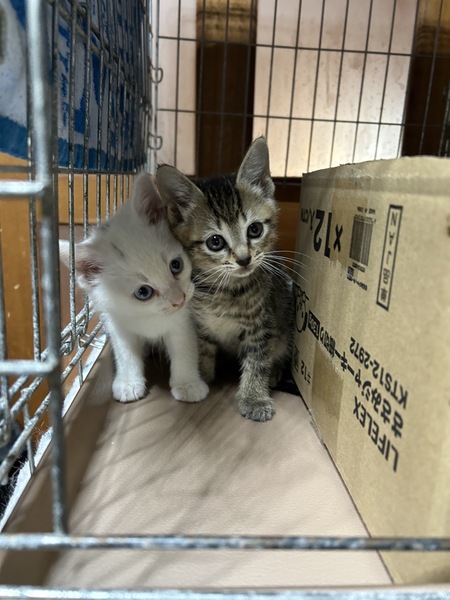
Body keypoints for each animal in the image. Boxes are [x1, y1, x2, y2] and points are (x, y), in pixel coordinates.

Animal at [59, 173, 209, 405]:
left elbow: (184, 348)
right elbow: (126, 354)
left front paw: (187, 383)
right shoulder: (116, 323)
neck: (147, 317)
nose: (179, 299)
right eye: (143, 292)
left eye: (176, 265)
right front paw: (128, 383)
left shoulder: (183, 320)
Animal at [155, 137, 295, 422]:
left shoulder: (262, 326)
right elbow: (200, 349)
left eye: (255, 229)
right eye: (215, 242)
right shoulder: (197, 322)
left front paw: (254, 397)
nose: (244, 259)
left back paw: (275, 372)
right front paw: (198, 378)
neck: (224, 291)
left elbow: (258, 360)